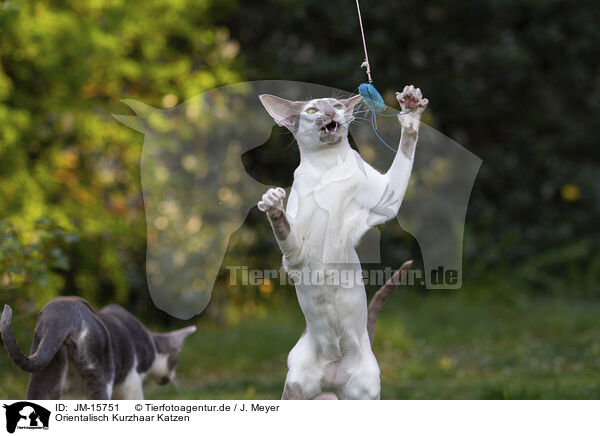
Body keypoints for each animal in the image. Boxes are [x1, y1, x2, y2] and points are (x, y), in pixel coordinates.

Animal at [0, 296, 196, 398]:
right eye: (175, 361)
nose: (172, 377)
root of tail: (61, 316)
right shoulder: (131, 383)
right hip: (99, 373)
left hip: (45, 372)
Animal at [256, 84, 426, 398]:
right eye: (312, 110)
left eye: (336, 105)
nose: (329, 113)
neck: (327, 169)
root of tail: (332, 374)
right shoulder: (294, 255)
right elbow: (283, 226)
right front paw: (272, 203)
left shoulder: (386, 203)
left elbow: (406, 146)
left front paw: (410, 108)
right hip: (295, 388)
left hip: (364, 394)